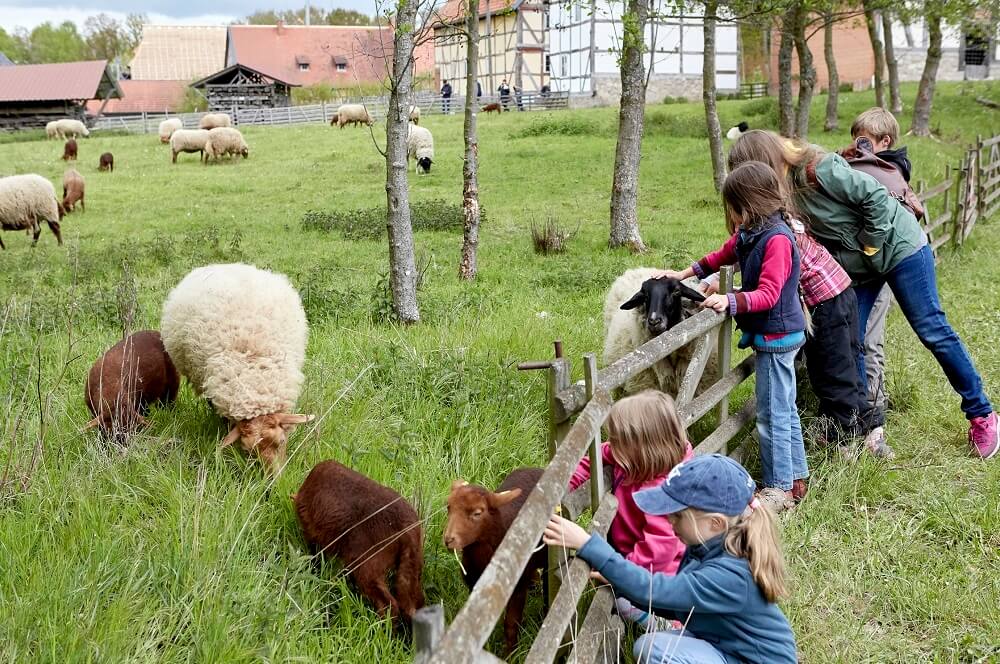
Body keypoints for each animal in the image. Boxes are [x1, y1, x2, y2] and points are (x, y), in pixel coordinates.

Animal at [292, 460, 426, 632]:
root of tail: (409, 528)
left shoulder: (312, 534)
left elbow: (315, 558)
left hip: (367, 564)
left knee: (389, 605)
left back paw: (381, 632)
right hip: (411, 565)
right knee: (413, 605)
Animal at [446, 466, 548, 652]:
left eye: (477, 513)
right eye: (448, 508)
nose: (449, 539)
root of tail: (536, 468)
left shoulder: (517, 589)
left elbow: (510, 627)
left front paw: (509, 654)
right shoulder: (474, 586)